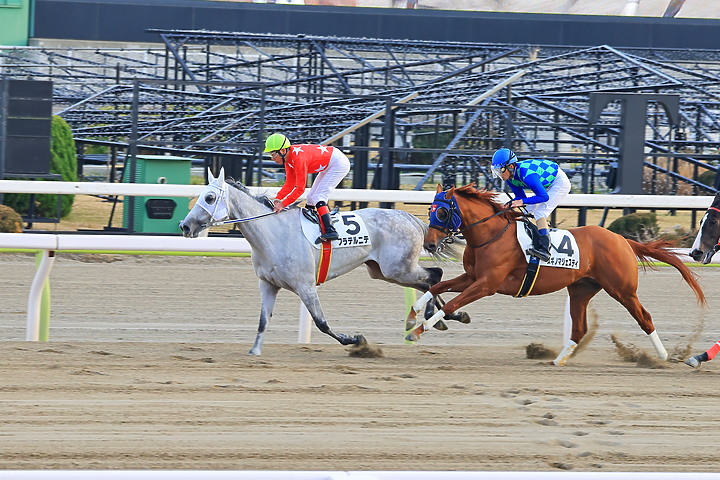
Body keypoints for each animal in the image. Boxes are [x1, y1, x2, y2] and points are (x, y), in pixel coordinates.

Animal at [177, 168, 464, 352]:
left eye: (209, 197)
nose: (184, 226)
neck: (274, 234)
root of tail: (410, 218)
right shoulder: (268, 284)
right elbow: (263, 321)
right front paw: (254, 351)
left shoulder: (305, 285)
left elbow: (321, 322)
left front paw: (355, 340)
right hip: (384, 271)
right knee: (427, 282)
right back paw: (445, 317)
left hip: (398, 268)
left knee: (434, 275)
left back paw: (434, 316)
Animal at [404, 183, 708, 364]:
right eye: (430, 210)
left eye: (443, 213)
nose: (429, 244)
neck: (490, 235)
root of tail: (622, 240)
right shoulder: (472, 277)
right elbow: (436, 287)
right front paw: (412, 317)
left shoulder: (487, 284)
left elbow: (452, 303)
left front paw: (419, 330)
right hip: (581, 289)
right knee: (580, 327)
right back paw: (559, 359)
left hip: (622, 289)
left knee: (644, 317)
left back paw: (663, 355)